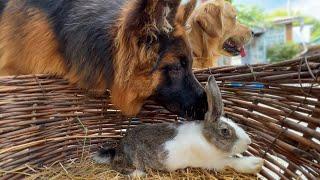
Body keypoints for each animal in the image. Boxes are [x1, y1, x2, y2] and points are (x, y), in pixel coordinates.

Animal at [92, 75, 262, 177]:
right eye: (225, 131)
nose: (249, 142)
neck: (206, 139)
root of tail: (117, 149)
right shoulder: (214, 161)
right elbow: (232, 162)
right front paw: (256, 164)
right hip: (131, 159)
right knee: (118, 166)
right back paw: (138, 174)